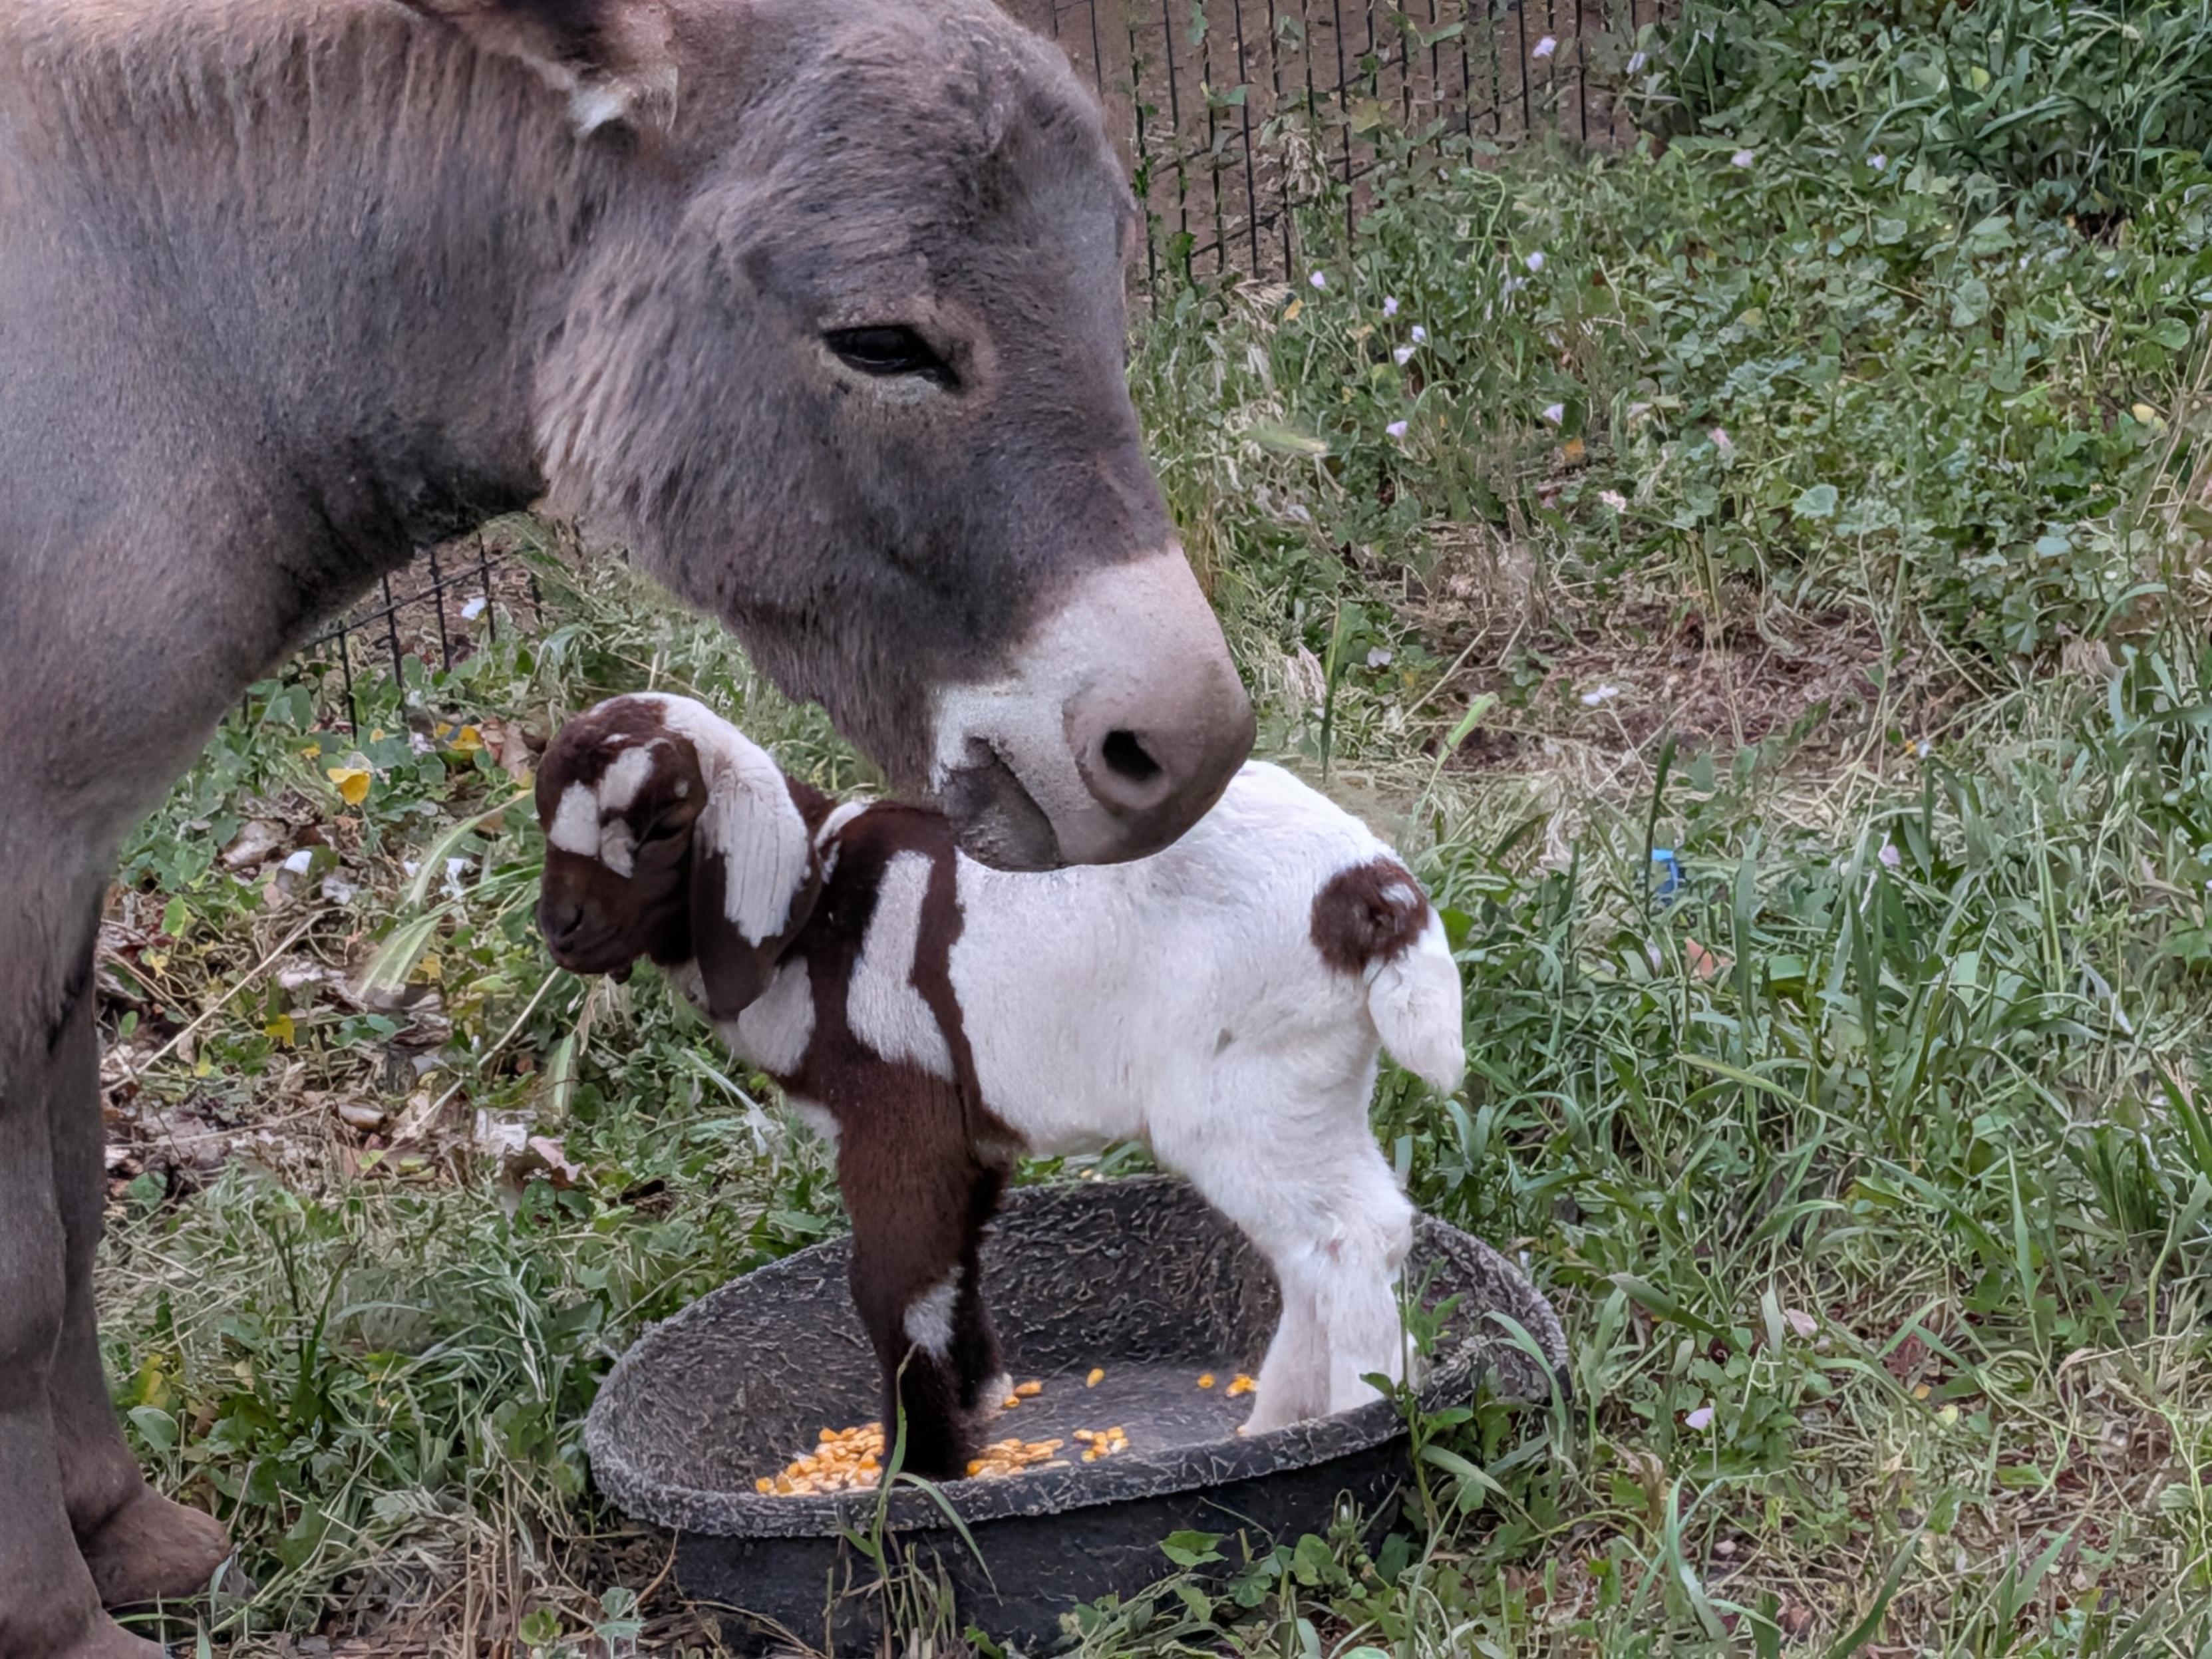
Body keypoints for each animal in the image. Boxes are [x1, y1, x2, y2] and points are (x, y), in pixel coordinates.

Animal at [536, 693, 1467, 1480]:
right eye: (545, 821)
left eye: (662, 822)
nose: (560, 929)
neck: (818, 911)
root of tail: (1370, 892)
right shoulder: (966, 1134)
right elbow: (956, 1258)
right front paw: (977, 1402)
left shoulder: (897, 1116)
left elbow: (893, 1281)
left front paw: (917, 1468)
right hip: (1310, 1082)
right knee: (1328, 1241)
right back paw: (1281, 1418)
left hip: (1242, 1091)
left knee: (1348, 1234)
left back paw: (1352, 1416)